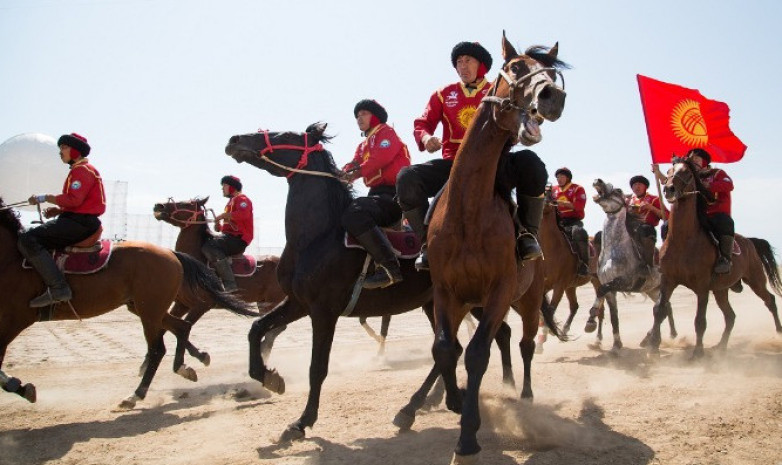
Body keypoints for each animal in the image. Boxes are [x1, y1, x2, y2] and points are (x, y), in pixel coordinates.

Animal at [154, 196, 288, 362]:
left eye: (185, 203)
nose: (159, 206)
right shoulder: (182, 304)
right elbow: (170, 327)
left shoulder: (202, 305)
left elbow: (185, 326)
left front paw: (201, 356)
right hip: (263, 303)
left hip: (273, 301)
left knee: (277, 327)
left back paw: (262, 350)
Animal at [422, 33, 568, 464]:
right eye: (517, 68)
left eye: (550, 71)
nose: (553, 97)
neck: (468, 211)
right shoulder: (446, 292)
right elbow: (445, 349)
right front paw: (454, 401)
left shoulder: (499, 291)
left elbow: (475, 354)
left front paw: (468, 438)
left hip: (529, 300)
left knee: (524, 344)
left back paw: (526, 395)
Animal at [648, 158, 782, 358]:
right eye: (669, 171)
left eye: (687, 173)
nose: (669, 189)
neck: (684, 240)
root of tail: (750, 241)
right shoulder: (668, 280)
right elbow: (659, 310)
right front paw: (653, 346)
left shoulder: (702, 286)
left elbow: (700, 321)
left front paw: (697, 353)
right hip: (721, 290)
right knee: (730, 316)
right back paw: (721, 346)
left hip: (756, 280)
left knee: (770, 301)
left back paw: (778, 334)